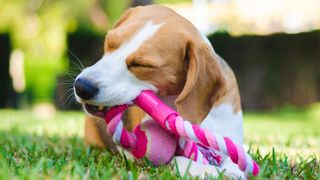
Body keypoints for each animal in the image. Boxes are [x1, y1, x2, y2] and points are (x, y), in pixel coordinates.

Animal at [75, 5, 244, 179]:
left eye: (142, 65)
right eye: (109, 42)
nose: (81, 86)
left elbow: (236, 160)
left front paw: (230, 170)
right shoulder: (137, 156)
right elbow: (177, 159)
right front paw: (212, 171)